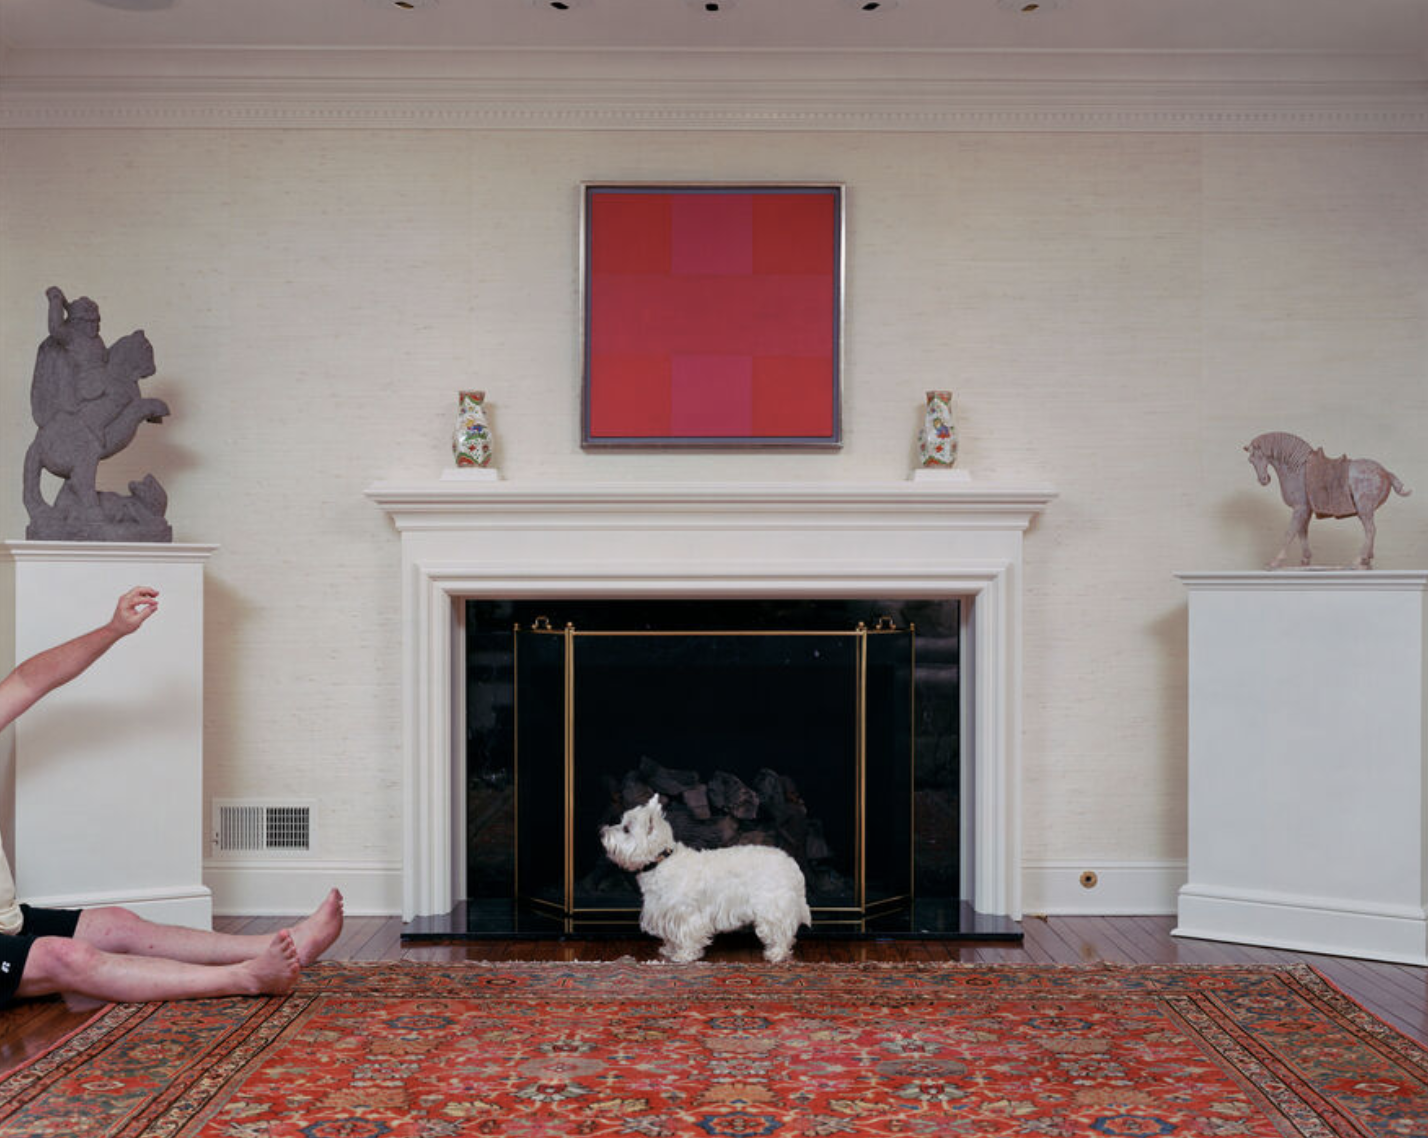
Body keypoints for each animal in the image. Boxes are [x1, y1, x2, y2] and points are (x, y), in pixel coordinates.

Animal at [596, 793, 811, 965]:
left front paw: (684, 955)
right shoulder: (664, 911)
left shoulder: (685, 913)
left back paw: (776, 953)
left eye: (626, 829)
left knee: (781, 932)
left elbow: (687, 934)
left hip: (773, 906)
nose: (601, 832)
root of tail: (792, 864)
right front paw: (669, 949)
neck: (661, 861)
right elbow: (671, 935)